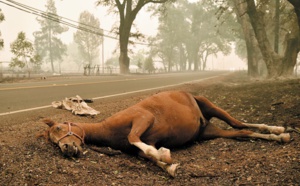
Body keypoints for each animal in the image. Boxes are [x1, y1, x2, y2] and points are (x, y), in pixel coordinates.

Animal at [42, 91, 290, 177]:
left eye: (59, 128)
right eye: (53, 141)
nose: (66, 148)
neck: (109, 128)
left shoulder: (142, 118)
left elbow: (138, 140)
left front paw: (164, 154)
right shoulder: (141, 145)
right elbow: (148, 155)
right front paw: (168, 164)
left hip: (210, 105)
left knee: (239, 122)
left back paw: (278, 130)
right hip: (209, 132)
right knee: (242, 131)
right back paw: (278, 136)